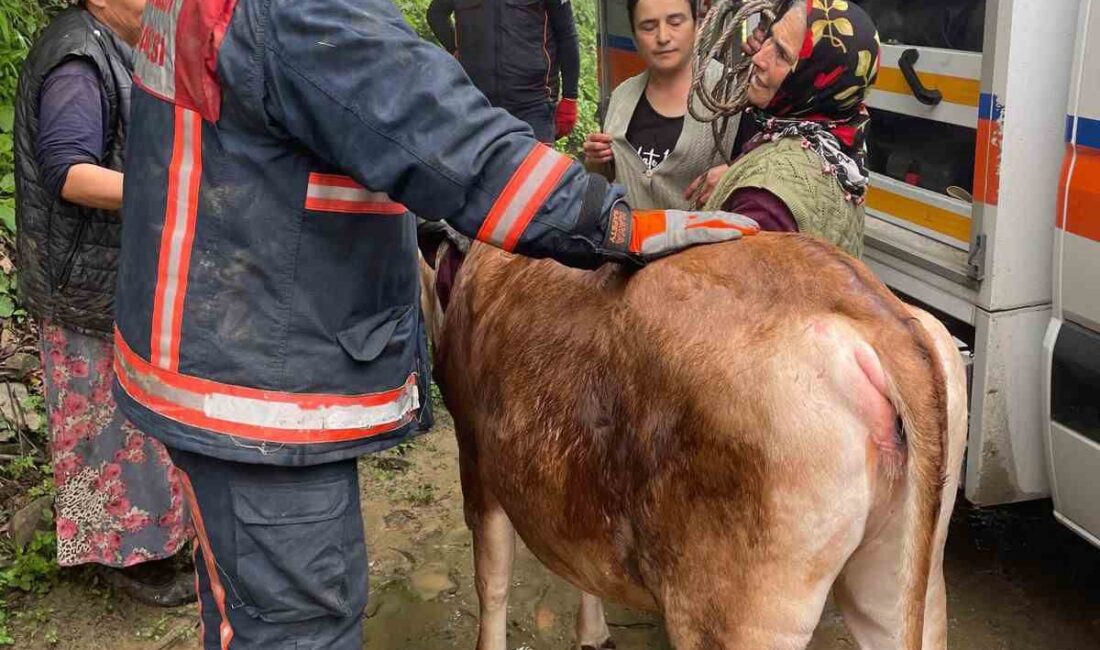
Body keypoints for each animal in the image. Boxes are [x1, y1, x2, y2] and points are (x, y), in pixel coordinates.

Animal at [415, 235, 968, 650]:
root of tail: (874, 312)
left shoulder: (477, 462)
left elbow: (492, 581)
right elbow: (580, 564)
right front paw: (593, 634)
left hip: (737, 614)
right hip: (904, 585)